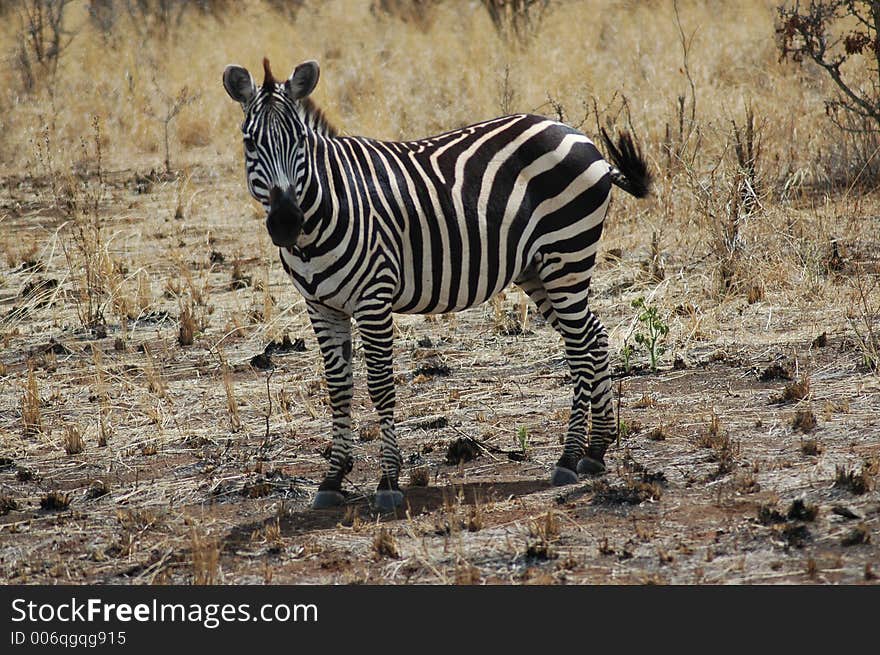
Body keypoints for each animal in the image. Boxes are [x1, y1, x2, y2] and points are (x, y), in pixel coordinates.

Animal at [223, 57, 648, 512]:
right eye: (250, 142)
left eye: (300, 141)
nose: (286, 222)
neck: (325, 210)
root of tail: (578, 135)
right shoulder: (321, 306)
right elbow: (338, 388)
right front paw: (333, 479)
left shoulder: (374, 298)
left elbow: (379, 385)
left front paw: (389, 481)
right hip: (539, 269)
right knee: (594, 337)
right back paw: (595, 452)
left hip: (566, 255)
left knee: (581, 348)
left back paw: (569, 458)